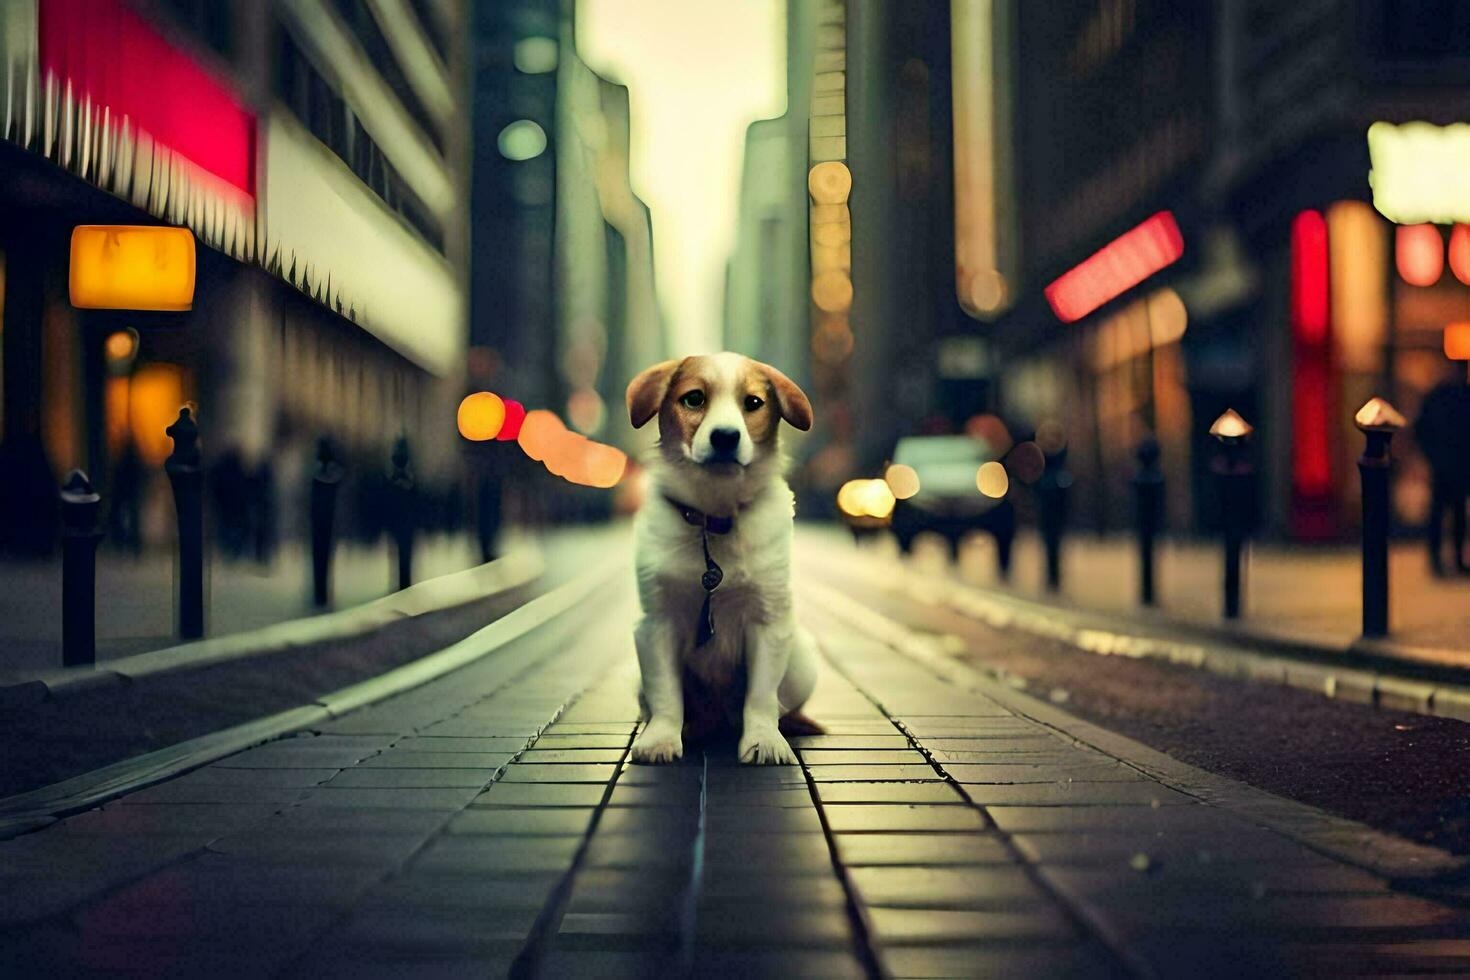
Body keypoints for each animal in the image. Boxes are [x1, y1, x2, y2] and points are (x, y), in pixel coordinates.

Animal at [626, 352, 823, 764]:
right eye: (694, 398)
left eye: (753, 403)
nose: (725, 436)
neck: (713, 520)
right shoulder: (656, 623)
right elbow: (666, 693)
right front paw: (662, 739)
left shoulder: (768, 620)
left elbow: (761, 695)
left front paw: (764, 740)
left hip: (801, 659)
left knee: (778, 703)